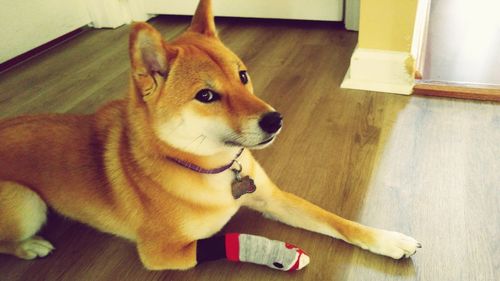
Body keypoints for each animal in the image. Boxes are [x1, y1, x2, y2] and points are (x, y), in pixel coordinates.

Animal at [0, 0, 422, 272]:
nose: (276, 119)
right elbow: (221, 243)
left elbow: (336, 220)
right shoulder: (163, 253)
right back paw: (31, 247)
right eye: (206, 96)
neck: (213, 168)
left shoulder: (274, 198)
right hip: (25, 202)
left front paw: (390, 240)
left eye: (243, 75)